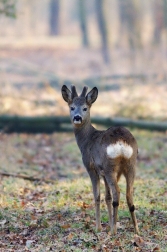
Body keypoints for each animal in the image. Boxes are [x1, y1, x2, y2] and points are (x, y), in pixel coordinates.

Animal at [61, 85, 140, 234]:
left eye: (85, 108)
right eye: (72, 107)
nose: (77, 117)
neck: (87, 140)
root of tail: (121, 142)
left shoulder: (91, 167)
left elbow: (97, 196)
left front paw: (98, 227)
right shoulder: (102, 171)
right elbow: (107, 197)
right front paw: (109, 224)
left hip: (110, 166)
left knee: (117, 193)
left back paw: (113, 231)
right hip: (130, 164)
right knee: (129, 194)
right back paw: (136, 229)